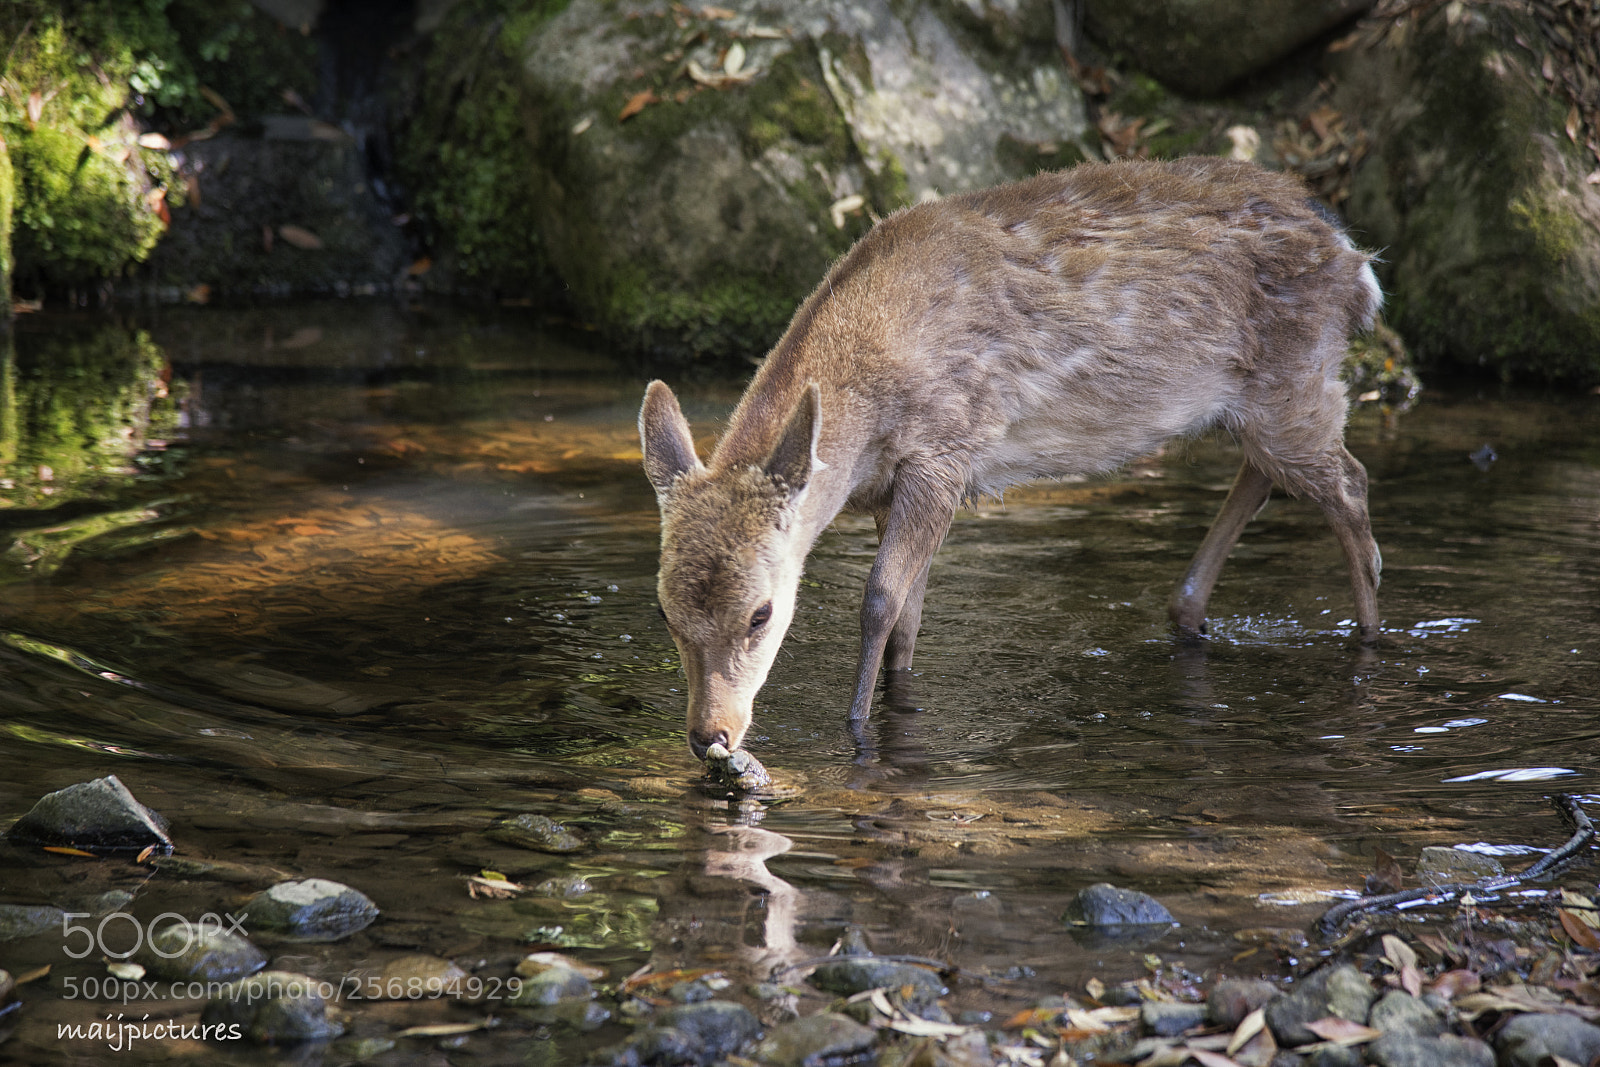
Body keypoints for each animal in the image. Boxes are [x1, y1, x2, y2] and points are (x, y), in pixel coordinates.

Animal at [639, 156, 1383, 760]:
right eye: (664, 611)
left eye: (761, 614)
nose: (711, 734)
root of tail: (1358, 262)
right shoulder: (891, 485)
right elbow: (909, 615)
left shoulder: (945, 448)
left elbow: (880, 599)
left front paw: (853, 732)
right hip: (1264, 403)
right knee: (1270, 476)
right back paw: (1188, 609)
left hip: (1300, 377)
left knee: (1351, 486)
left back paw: (1368, 643)